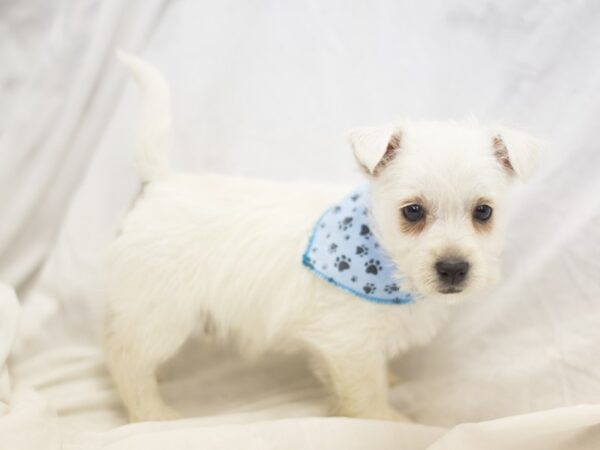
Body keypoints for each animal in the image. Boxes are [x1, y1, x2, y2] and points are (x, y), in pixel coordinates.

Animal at [105, 52, 540, 422]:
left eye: (483, 212)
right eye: (412, 211)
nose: (453, 268)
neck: (382, 259)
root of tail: (163, 181)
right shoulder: (348, 344)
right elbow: (366, 393)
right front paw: (386, 421)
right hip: (162, 311)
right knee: (127, 362)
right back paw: (152, 414)